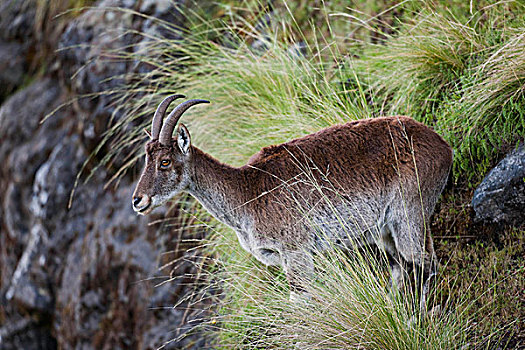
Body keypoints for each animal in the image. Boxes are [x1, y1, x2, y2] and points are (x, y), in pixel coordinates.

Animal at [133, 95, 452, 304]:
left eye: (164, 162)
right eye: (146, 158)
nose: (138, 201)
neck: (247, 193)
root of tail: (442, 146)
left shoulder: (296, 252)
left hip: (410, 215)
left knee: (426, 263)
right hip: (384, 231)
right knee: (402, 269)